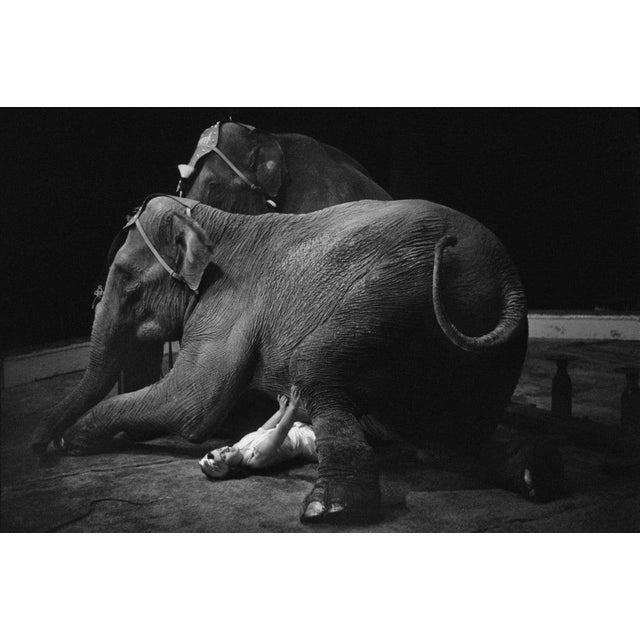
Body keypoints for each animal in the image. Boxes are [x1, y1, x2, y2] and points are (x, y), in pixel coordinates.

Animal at [33, 194, 565, 524]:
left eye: (124, 279)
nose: (41, 449)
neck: (214, 219)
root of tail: (501, 274)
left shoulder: (228, 300)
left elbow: (192, 404)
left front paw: (74, 439)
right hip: (483, 345)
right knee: (444, 436)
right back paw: (536, 474)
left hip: (392, 294)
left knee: (318, 366)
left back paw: (329, 510)